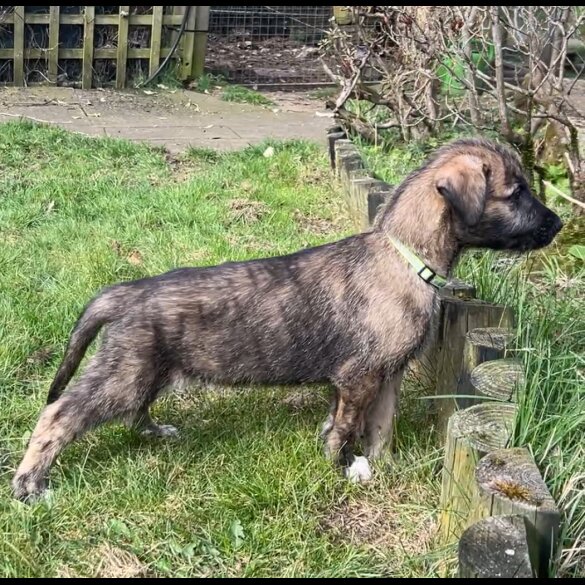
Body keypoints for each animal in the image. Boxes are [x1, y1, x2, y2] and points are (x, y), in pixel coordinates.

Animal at [12, 136, 560, 498]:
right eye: (516, 193)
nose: (557, 225)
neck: (405, 254)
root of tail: (125, 293)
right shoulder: (359, 377)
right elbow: (347, 428)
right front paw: (341, 468)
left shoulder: (387, 376)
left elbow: (380, 427)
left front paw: (381, 466)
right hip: (125, 373)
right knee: (59, 413)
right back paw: (30, 483)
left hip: (145, 371)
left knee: (132, 410)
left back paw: (154, 432)